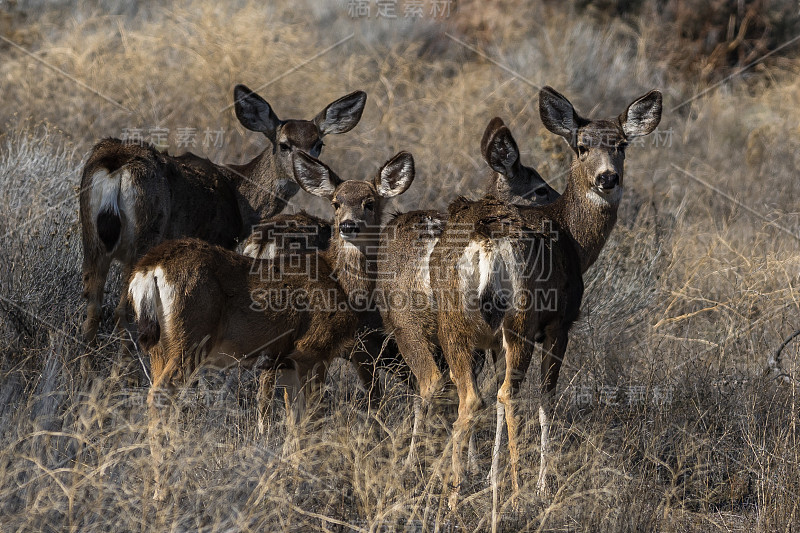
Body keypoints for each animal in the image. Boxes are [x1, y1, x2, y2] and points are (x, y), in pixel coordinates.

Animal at [78, 84, 366, 358]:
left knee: (93, 306)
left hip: (91, 238)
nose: (307, 168)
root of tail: (116, 164)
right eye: (284, 144)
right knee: (125, 311)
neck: (241, 198)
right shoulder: (219, 238)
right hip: (144, 237)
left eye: (319, 143)